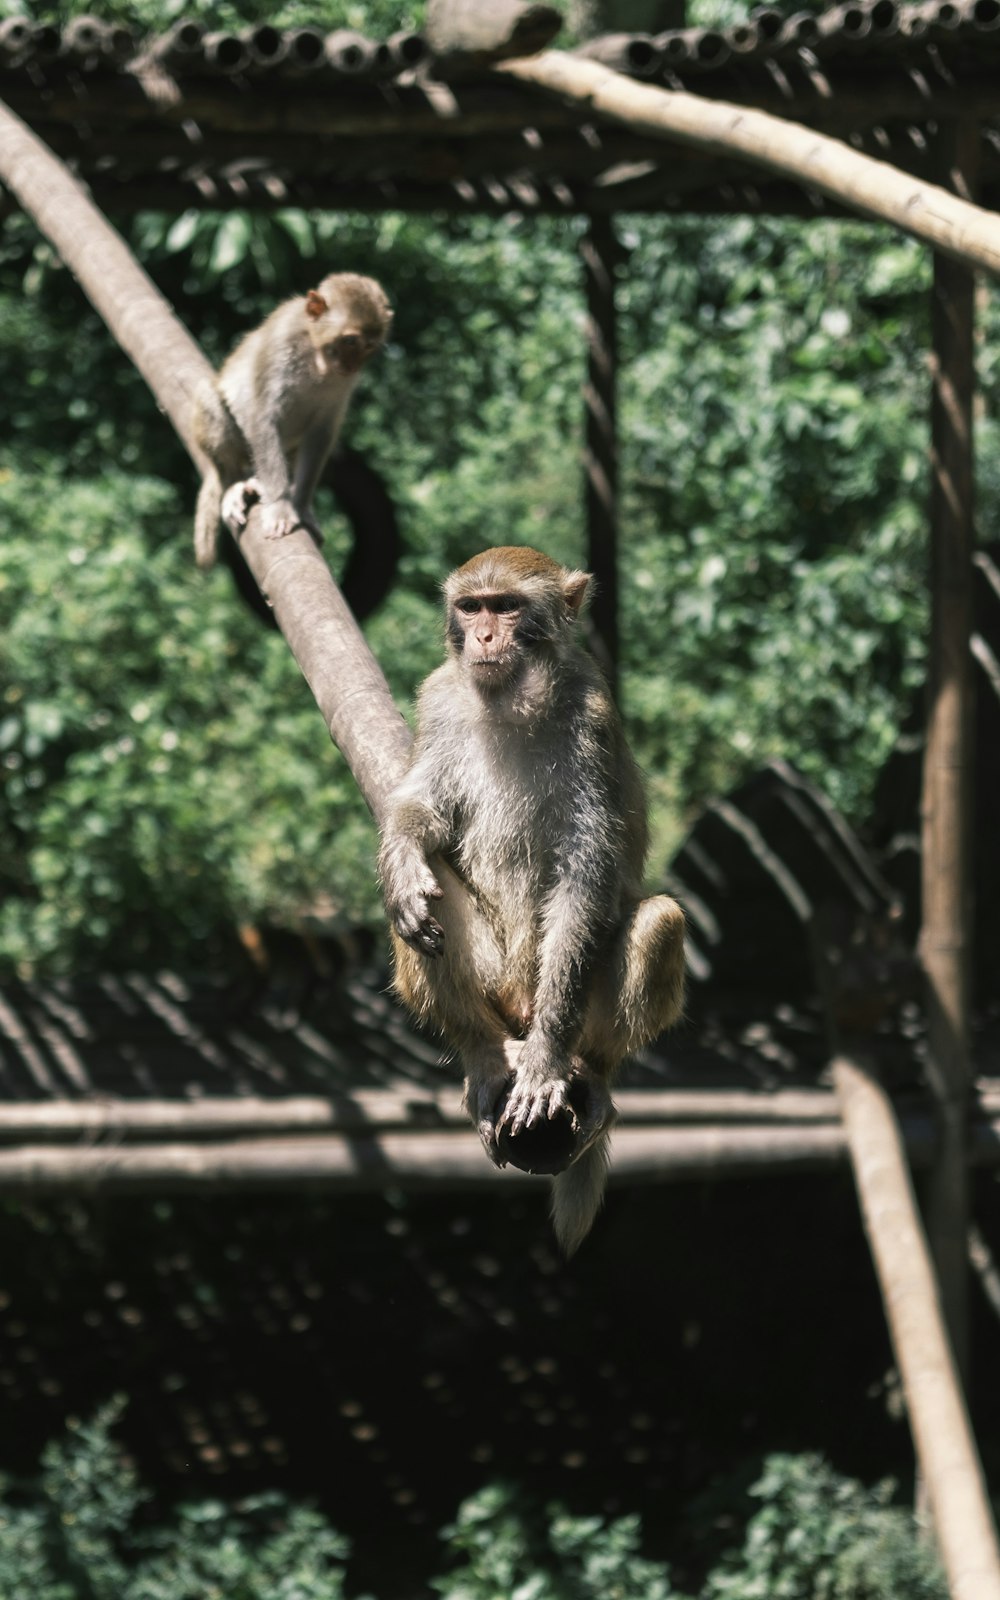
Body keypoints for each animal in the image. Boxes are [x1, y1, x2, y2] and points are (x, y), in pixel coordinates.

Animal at [188, 272, 392, 572]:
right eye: (350, 341)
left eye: (368, 347)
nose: (353, 365)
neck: (316, 353)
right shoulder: (281, 340)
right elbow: (263, 419)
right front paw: (280, 506)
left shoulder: (343, 384)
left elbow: (320, 434)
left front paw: (302, 506)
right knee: (208, 396)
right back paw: (236, 482)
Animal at [377, 547, 681, 1248]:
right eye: (473, 607)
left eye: (508, 607)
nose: (485, 637)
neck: (511, 701)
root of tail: (519, 1004)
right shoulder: (439, 699)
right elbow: (422, 813)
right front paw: (404, 862)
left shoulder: (590, 720)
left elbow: (583, 878)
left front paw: (544, 1063)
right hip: (493, 981)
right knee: (422, 911)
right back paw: (483, 1056)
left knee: (660, 919)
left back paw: (589, 1073)